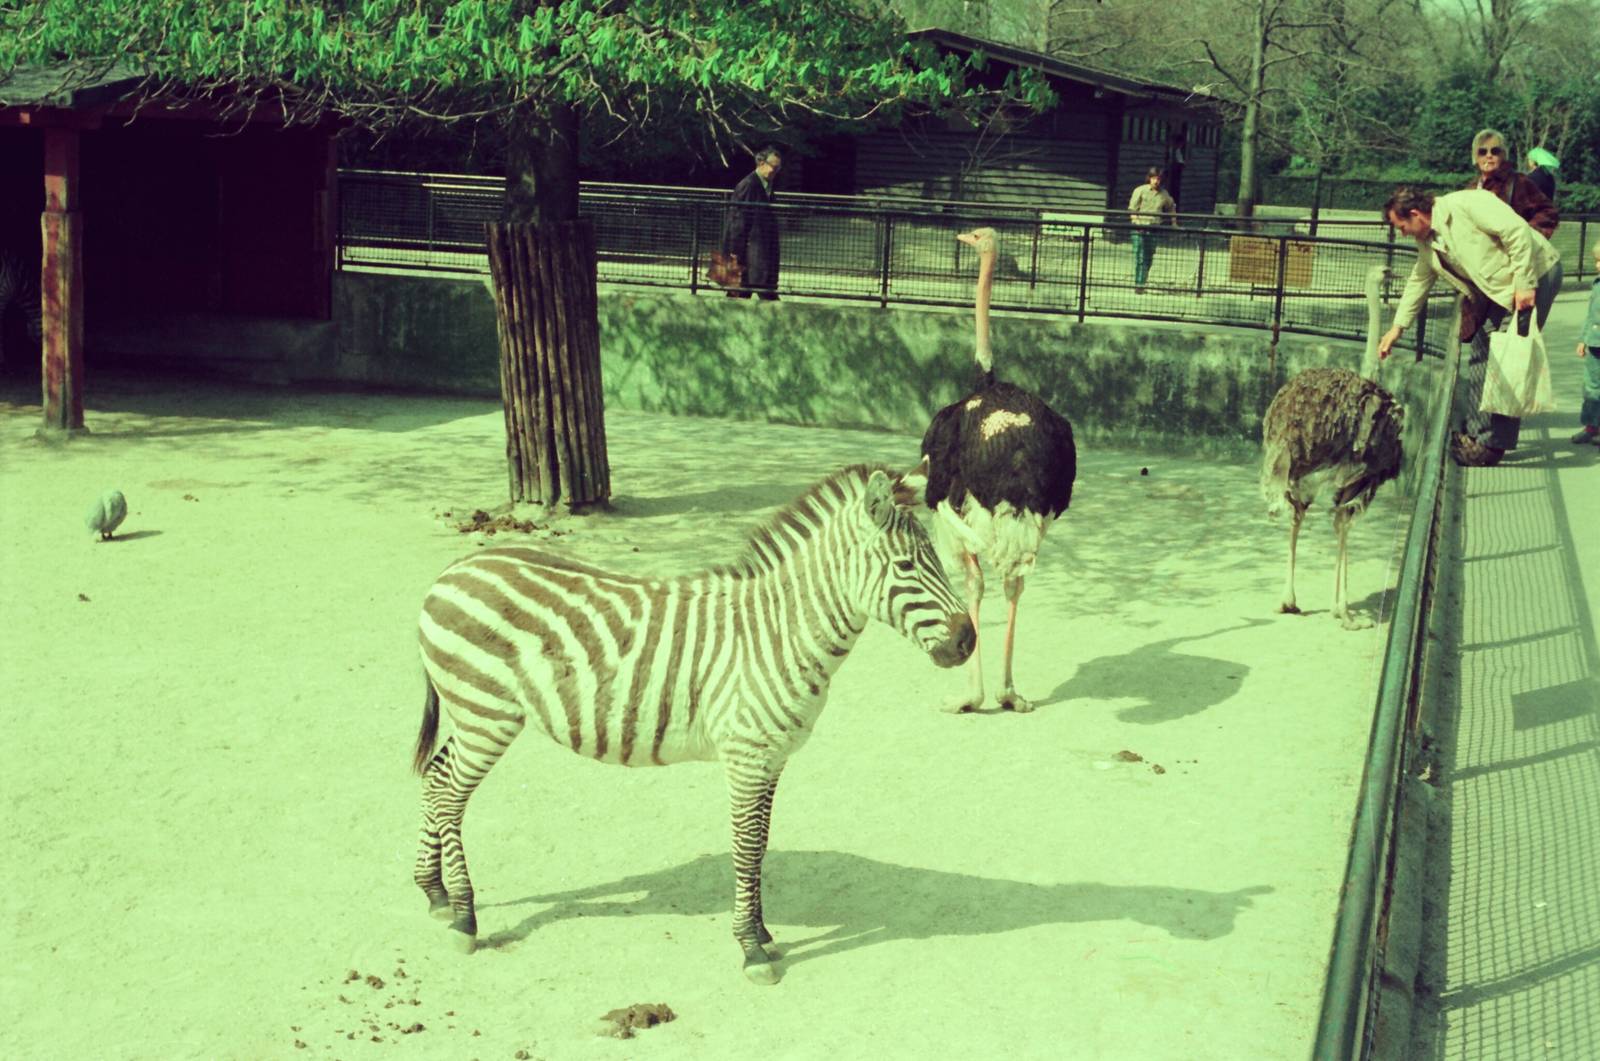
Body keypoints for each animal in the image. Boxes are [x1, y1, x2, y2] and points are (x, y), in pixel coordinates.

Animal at [411, 464, 975, 984]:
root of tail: (454, 569)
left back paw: (435, 893)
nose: (967, 642)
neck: (779, 632)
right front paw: (750, 948)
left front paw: (763, 932)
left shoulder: (771, 756)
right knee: (450, 796)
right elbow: (745, 849)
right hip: (486, 713)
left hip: (471, 715)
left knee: (435, 779)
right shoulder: (747, 754)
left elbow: (761, 844)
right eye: (906, 565)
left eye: (935, 558)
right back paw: (464, 918)